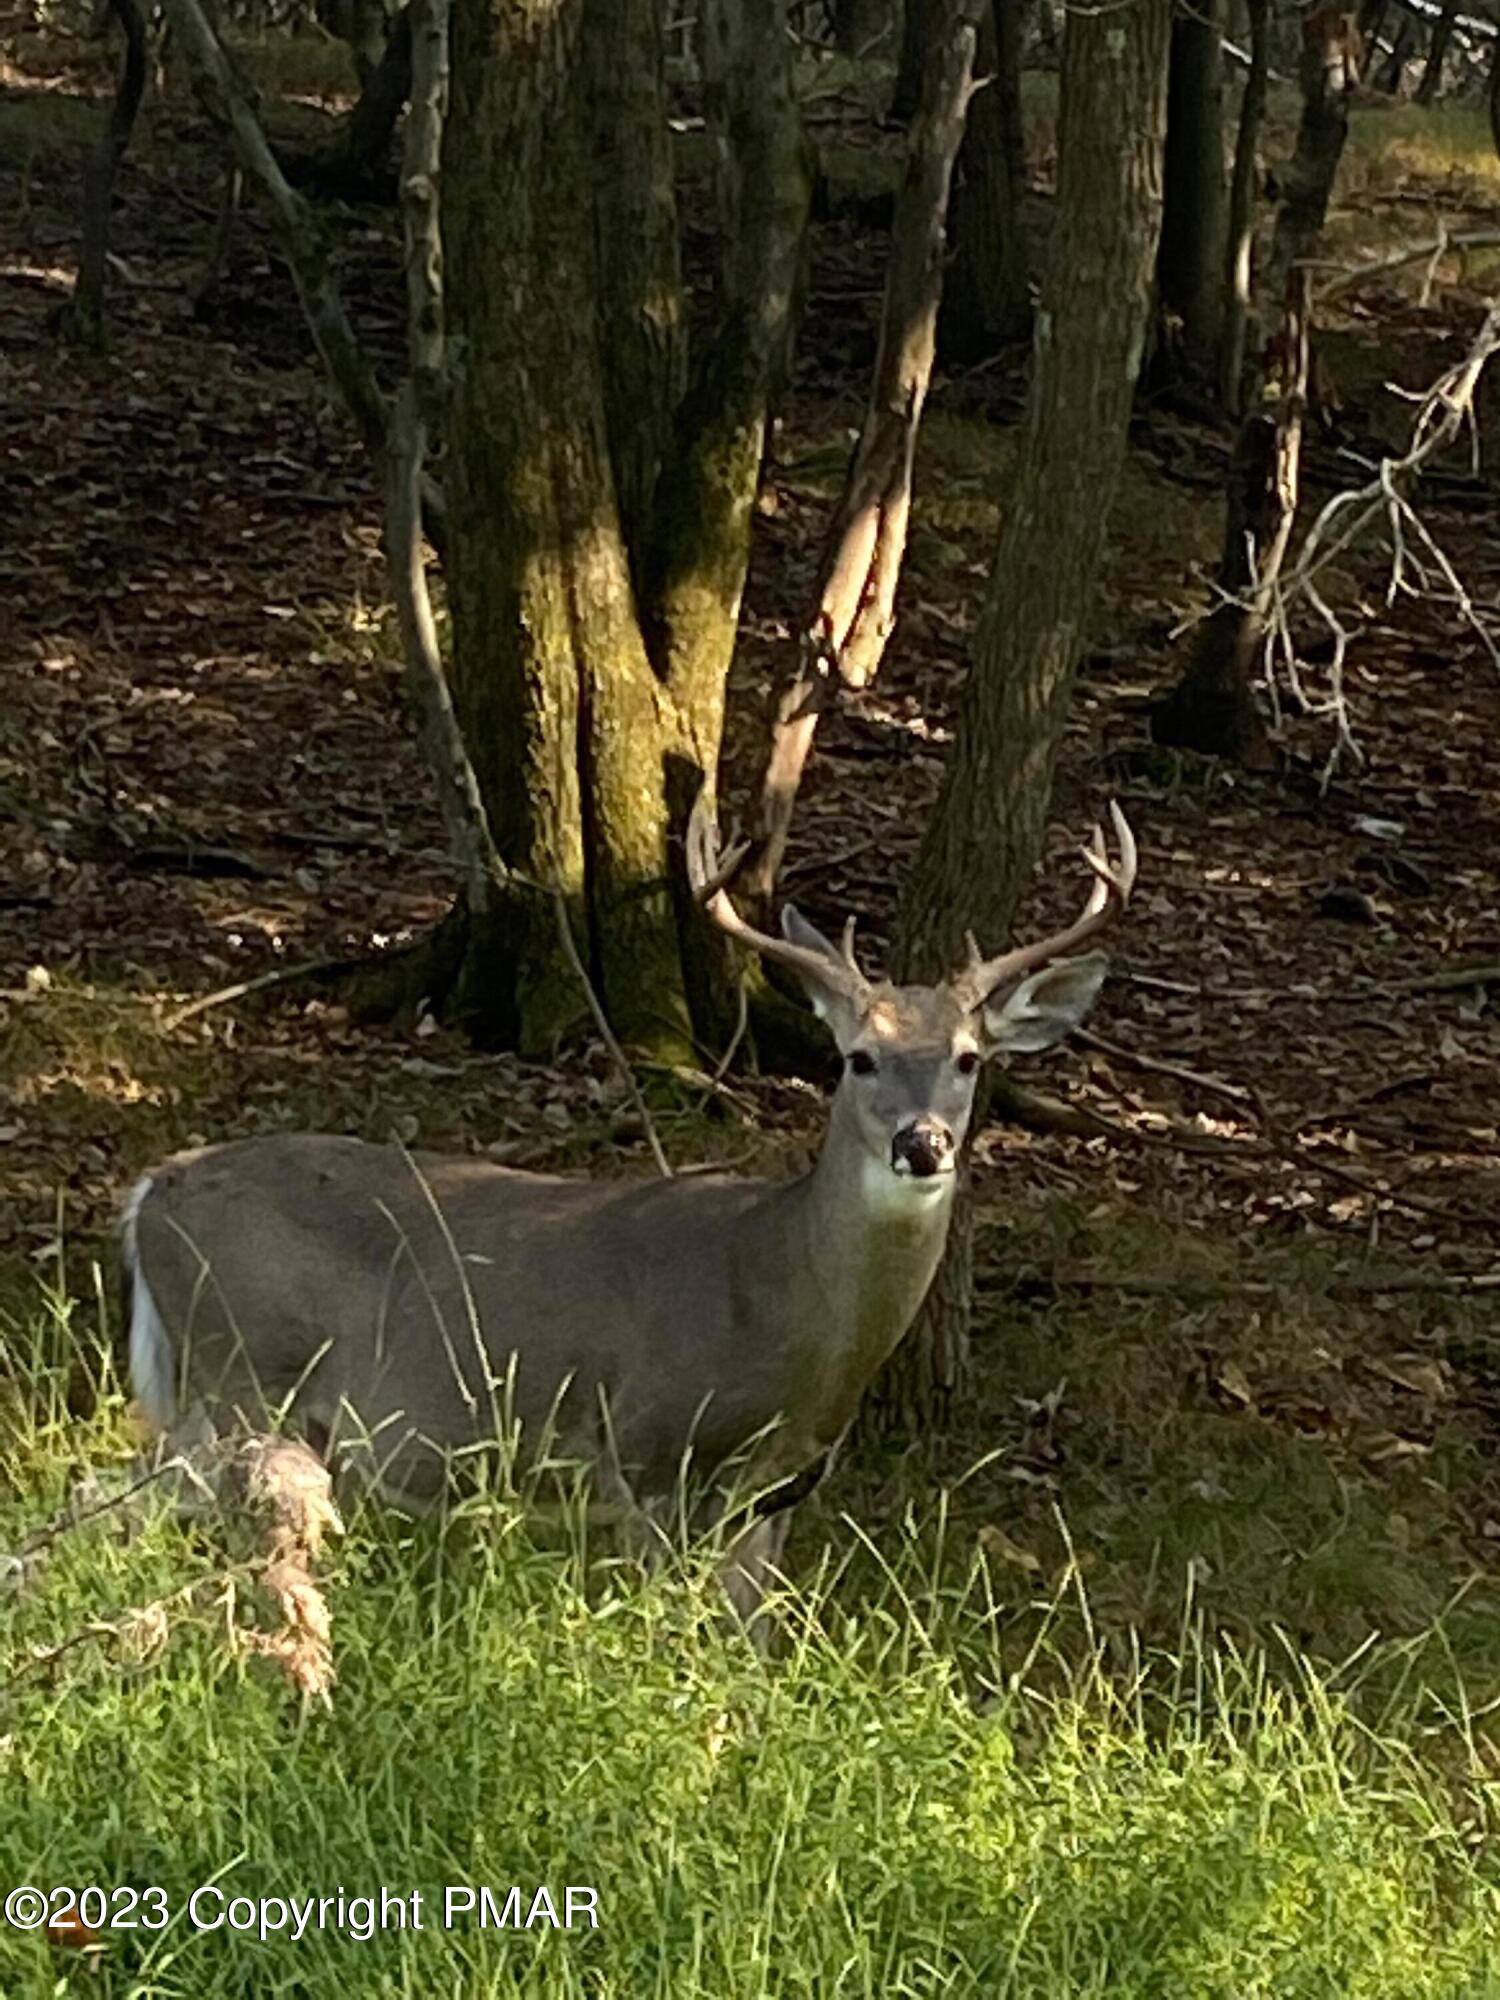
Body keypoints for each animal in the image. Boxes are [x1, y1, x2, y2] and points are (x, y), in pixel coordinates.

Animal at [126, 804, 1136, 1616]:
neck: (787, 1307)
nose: (922, 1144)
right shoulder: (651, 1446)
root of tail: (149, 1193)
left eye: (969, 1058)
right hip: (239, 1375)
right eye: (858, 1058)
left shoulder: (777, 1494)